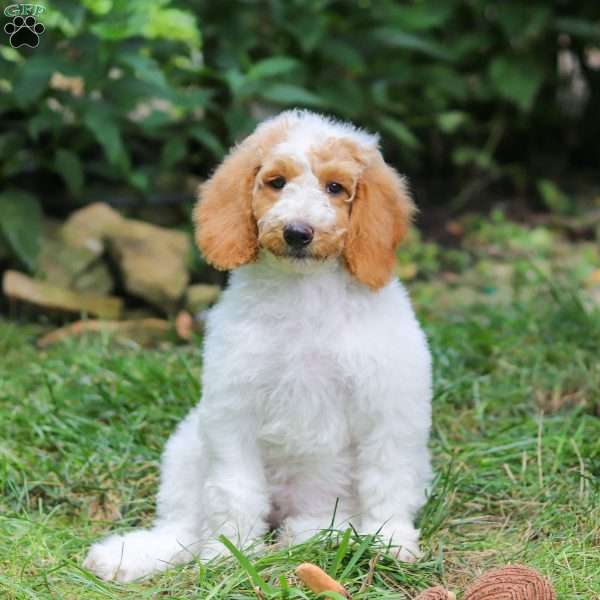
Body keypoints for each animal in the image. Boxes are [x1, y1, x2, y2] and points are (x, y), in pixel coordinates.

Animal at [84, 109, 432, 580]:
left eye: (335, 188)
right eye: (276, 182)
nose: (297, 233)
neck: (304, 293)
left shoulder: (389, 407)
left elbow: (387, 480)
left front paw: (391, 541)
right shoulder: (234, 411)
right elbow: (234, 490)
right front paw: (230, 553)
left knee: (321, 523)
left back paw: (314, 536)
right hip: (187, 447)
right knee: (184, 527)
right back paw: (130, 556)